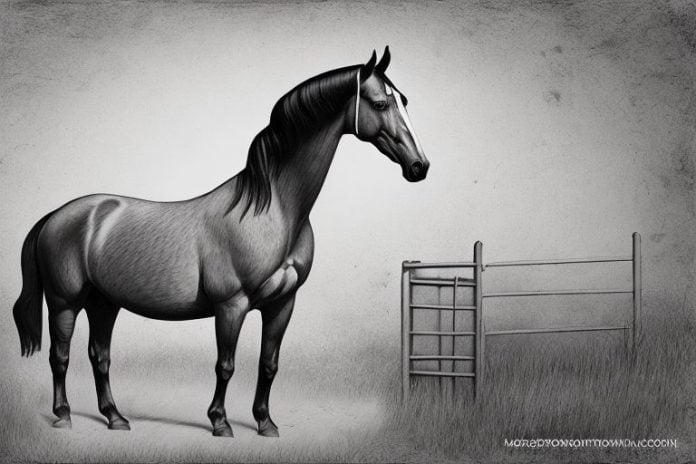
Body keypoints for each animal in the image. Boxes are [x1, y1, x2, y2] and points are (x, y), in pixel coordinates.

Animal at [12, 46, 428, 438]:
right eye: (380, 103)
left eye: (405, 100)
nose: (419, 166)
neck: (272, 209)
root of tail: (56, 215)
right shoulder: (232, 305)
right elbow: (226, 365)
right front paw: (220, 423)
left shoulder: (282, 304)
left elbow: (268, 364)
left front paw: (266, 423)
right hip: (65, 302)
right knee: (60, 356)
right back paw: (64, 416)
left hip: (103, 303)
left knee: (99, 356)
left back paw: (115, 417)